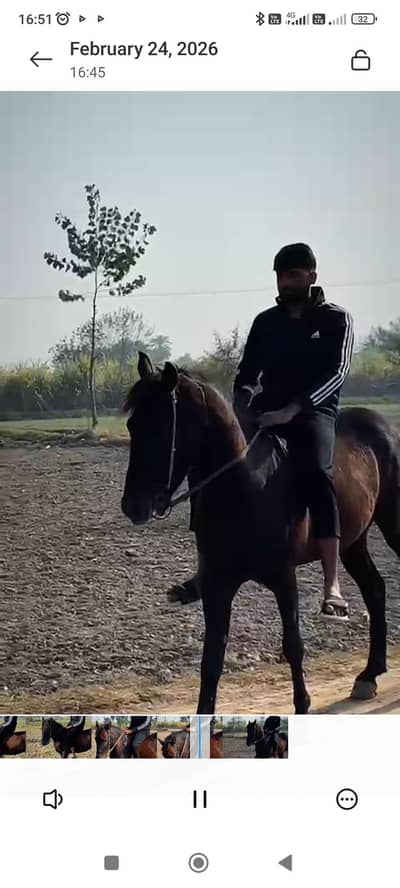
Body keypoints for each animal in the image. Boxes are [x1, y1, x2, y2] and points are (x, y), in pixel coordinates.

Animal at [122, 353, 400, 714]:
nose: (133, 506)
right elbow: (212, 659)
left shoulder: (284, 578)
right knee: (375, 589)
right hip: (354, 541)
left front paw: (302, 705)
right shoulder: (218, 585)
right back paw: (369, 674)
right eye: (133, 425)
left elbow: (293, 645)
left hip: (391, 524)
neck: (248, 486)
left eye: (162, 428)